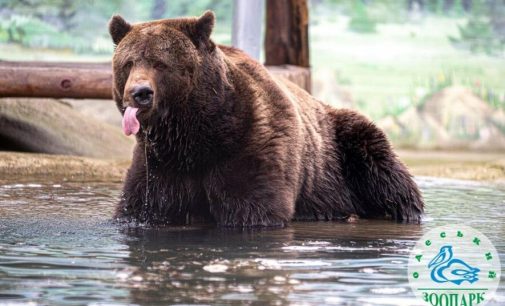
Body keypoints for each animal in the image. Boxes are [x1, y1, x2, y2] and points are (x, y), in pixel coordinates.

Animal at [109, 11, 422, 227]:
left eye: (161, 64)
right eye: (129, 62)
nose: (139, 93)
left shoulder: (252, 142)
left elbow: (252, 209)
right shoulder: (159, 164)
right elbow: (141, 208)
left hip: (342, 147)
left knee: (385, 170)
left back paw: (404, 211)